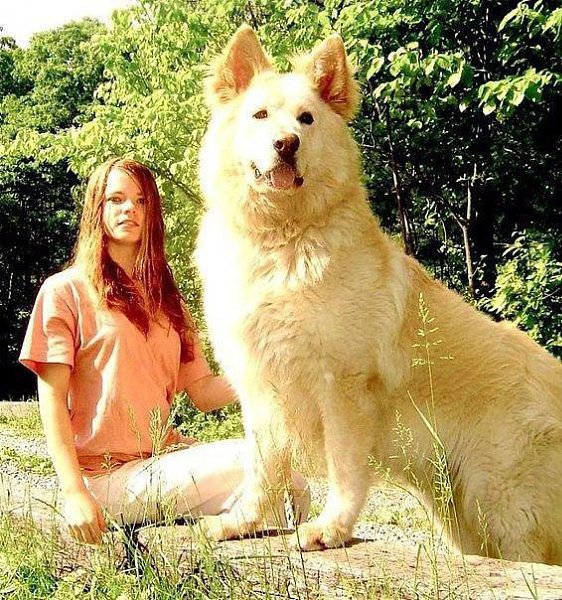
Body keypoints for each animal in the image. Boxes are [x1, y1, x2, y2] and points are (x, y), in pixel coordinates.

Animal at [195, 25, 562, 563]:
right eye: (259, 115)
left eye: (306, 119)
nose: (286, 143)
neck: (283, 240)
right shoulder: (263, 392)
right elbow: (263, 470)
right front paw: (243, 522)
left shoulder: (343, 389)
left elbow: (345, 470)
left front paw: (331, 529)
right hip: (466, 518)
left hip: (505, 510)